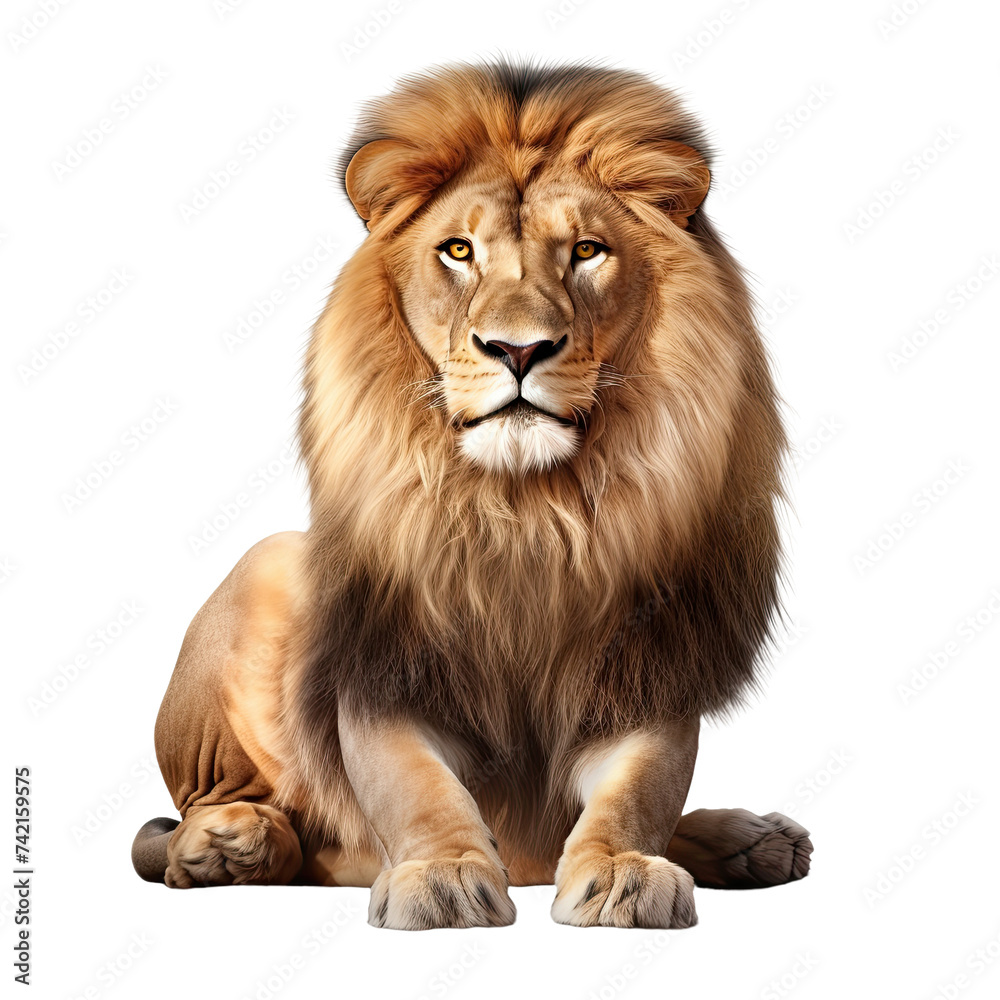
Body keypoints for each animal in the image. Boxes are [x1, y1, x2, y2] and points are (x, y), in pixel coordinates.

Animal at [132, 61, 812, 929]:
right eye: (458, 251)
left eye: (587, 250)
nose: (518, 349)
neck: (526, 512)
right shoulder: (384, 668)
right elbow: (413, 784)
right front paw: (443, 874)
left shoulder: (647, 666)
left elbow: (642, 788)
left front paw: (623, 872)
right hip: (267, 564)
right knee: (231, 817)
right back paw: (230, 843)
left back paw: (752, 840)